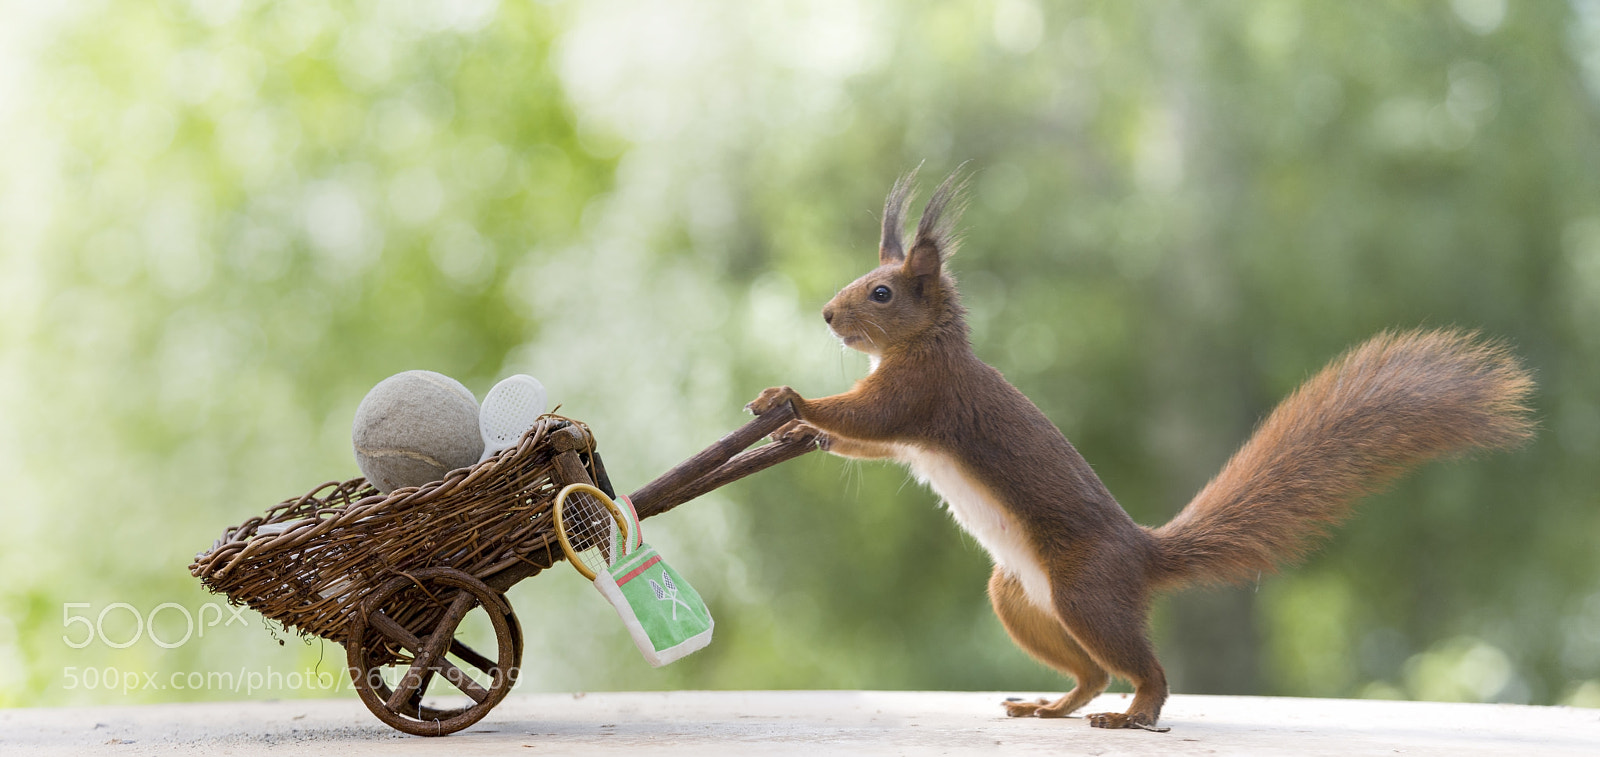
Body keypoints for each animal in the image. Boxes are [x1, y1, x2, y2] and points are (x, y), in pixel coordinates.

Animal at [745, 169, 1536, 731]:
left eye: (881, 292)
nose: (827, 314)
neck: (928, 344)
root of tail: (1144, 553)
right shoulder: (911, 424)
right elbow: (867, 444)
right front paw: (797, 431)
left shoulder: (923, 395)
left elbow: (870, 418)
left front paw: (794, 401)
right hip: (1023, 598)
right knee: (1093, 671)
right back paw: (1053, 705)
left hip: (1086, 592)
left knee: (1141, 668)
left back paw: (1136, 714)